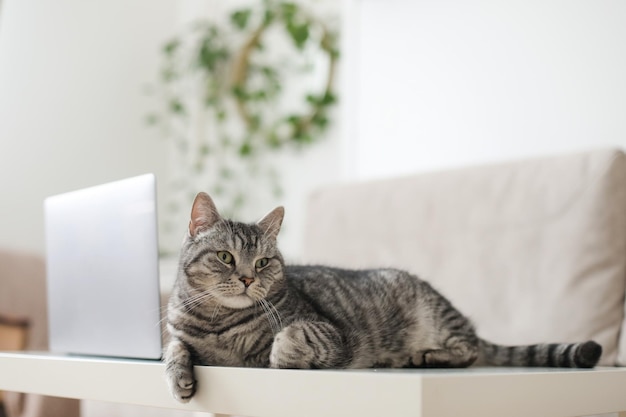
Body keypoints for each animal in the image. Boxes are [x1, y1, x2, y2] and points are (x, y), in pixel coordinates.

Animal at [163, 191, 604, 400]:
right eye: (225, 257)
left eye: (263, 263)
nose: (247, 279)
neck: (220, 324)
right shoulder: (177, 332)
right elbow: (174, 348)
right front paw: (180, 377)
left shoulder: (329, 332)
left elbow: (291, 336)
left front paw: (277, 356)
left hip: (434, 314)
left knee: (470, 349)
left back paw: (426, 356)